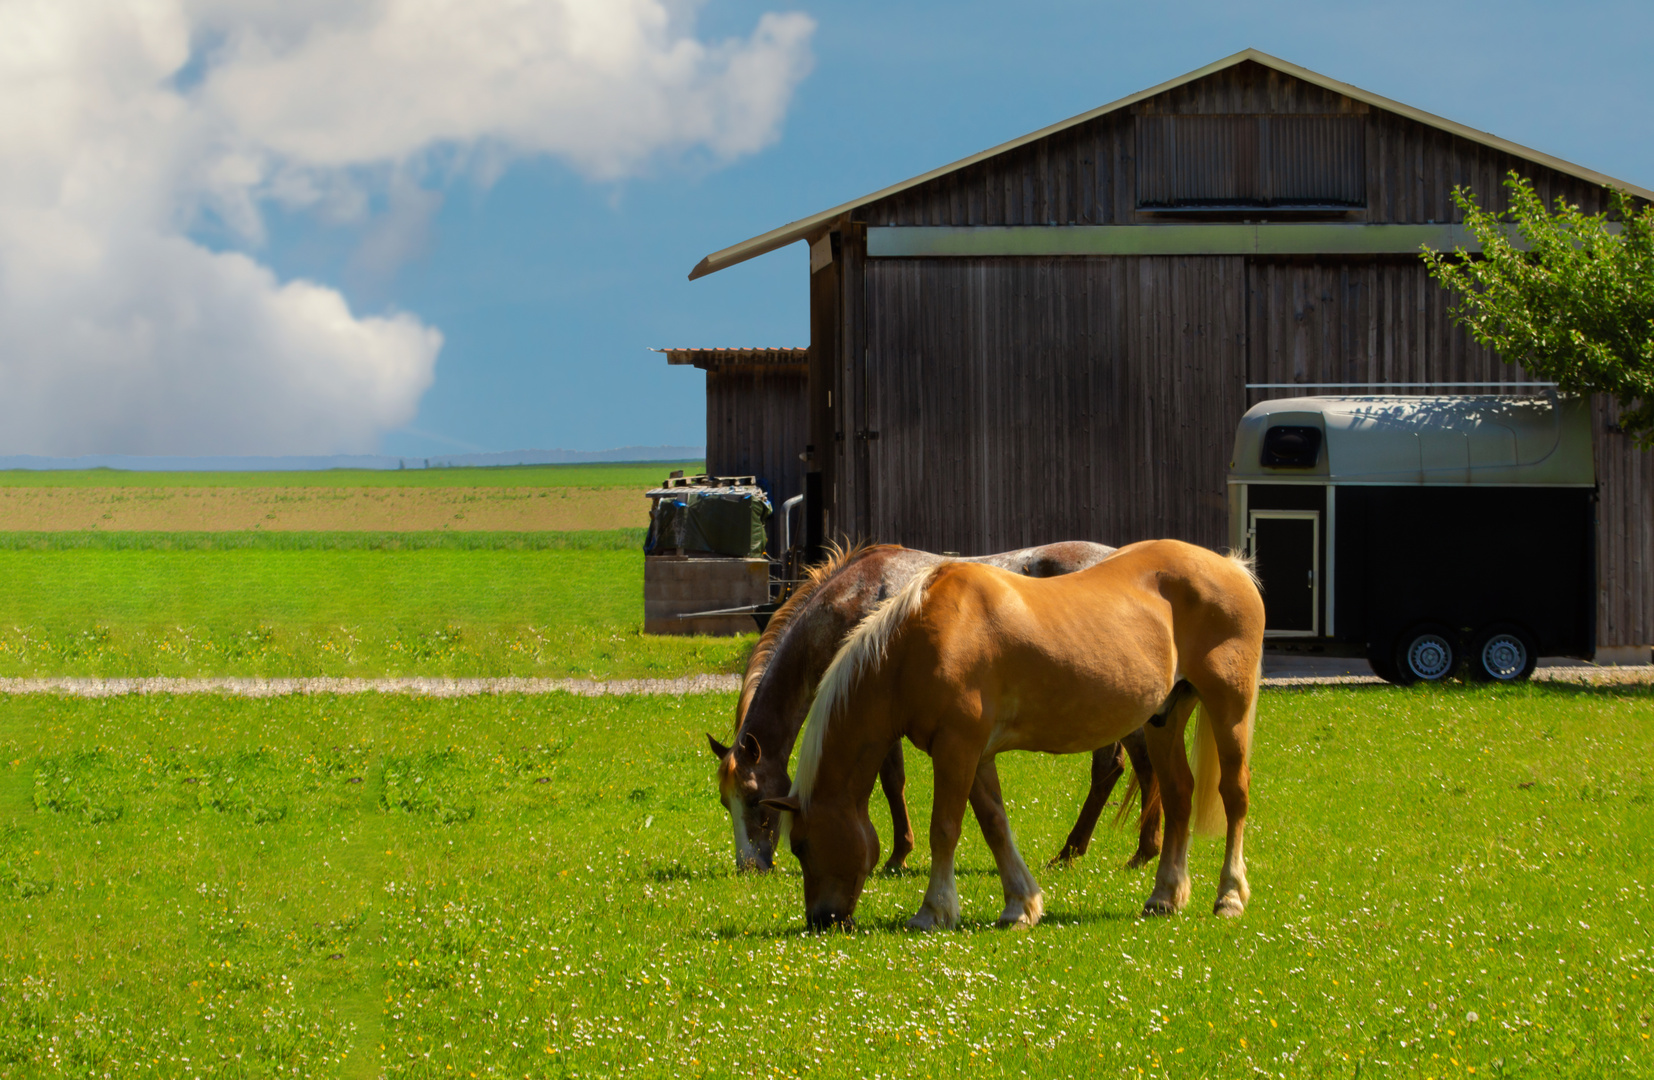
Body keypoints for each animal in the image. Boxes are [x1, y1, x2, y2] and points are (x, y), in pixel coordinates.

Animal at [707, 542, 1164, 873]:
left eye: (754, 799)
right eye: (725, 803)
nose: (749, 867)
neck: (852, 603)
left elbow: (891, 780)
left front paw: (897, 855)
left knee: (1128, 766)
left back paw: (1115, 851)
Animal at [760, 539, 1263, 926]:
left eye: (800, 845)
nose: (821, 920)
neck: (916, 640)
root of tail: (1232, 566)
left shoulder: (956, 748)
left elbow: (945, 828)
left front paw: (933, 911)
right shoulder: (975, 754)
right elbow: (994, 825)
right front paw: (1021, 905)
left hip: (1229, 708)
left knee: (1235, 795)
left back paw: (1229, 896)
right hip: (1165, 718)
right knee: (1178, 796)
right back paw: (1164, 896)